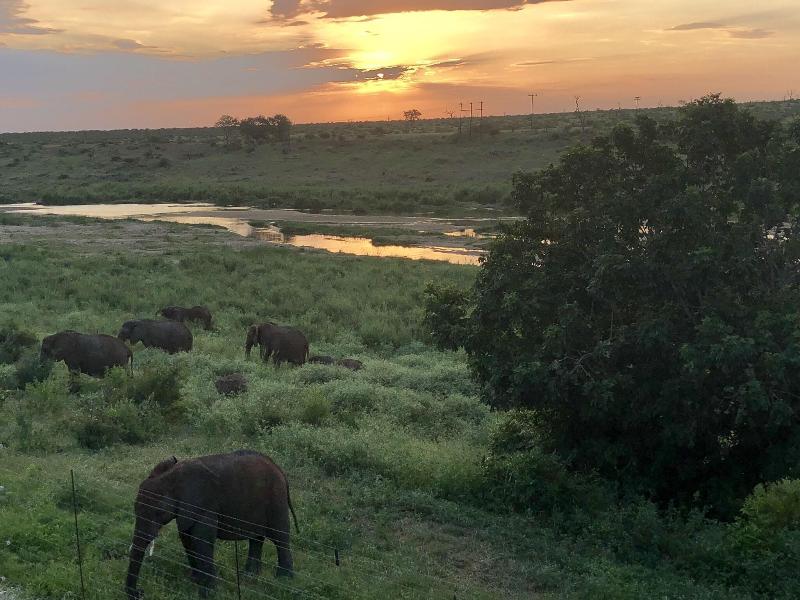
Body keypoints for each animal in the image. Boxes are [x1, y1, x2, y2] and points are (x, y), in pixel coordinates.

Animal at [125, 450, 298, 599]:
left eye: (158, 512)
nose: (140, 592)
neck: (172, 478)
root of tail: (279, 468)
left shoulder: (204, 507)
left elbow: (201, 541)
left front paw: (208, 594)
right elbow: (186, 538)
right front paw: (196, 581)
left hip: (276, 499)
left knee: (280, 537)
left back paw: (284, 579)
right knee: (256, 538)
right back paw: (250, 575)